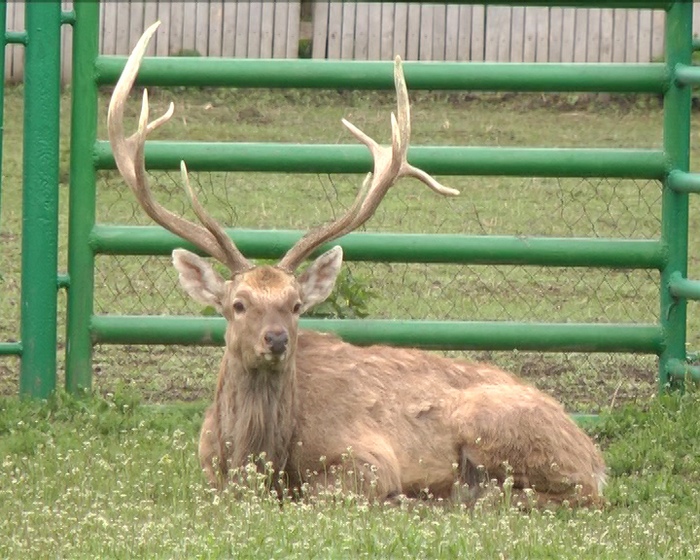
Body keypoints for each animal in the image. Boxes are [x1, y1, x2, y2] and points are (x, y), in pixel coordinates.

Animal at [108, 21, 608, 510]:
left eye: (295, 305)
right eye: (238, 304)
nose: (277, 339)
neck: (257, 461)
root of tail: (595, 455)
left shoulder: (368, 458)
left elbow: (323, 493)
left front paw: (402, 496)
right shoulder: (207, 468)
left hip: (495, 425)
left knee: (557, 495)